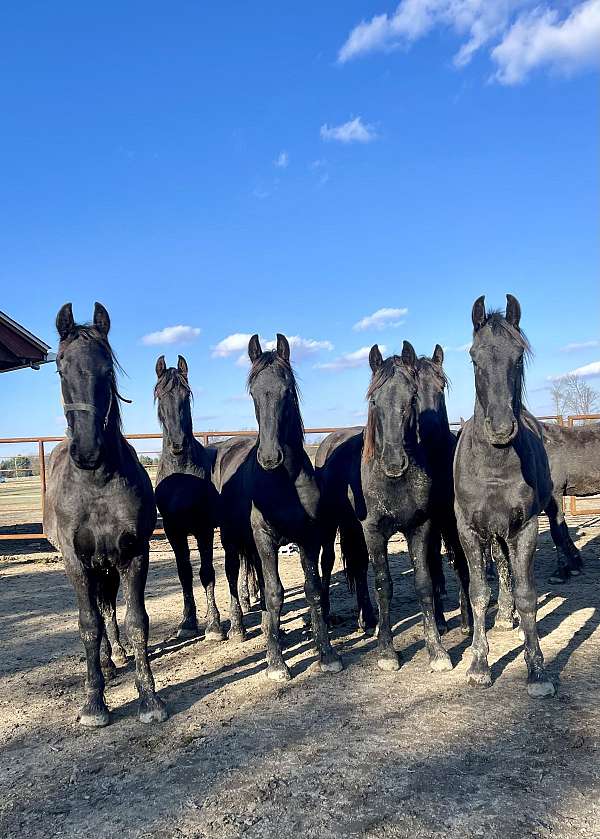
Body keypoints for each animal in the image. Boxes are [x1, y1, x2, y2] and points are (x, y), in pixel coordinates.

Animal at [44, 304, 168, 728]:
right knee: (98, 613)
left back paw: (118, 656)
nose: (88, 450)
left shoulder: (132, 554)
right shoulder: (76, 561)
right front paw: (94, 703)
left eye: (107, 370)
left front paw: (149, 699)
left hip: (109, 565)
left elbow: (135, 621)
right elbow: (88, 625)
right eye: (60, 369)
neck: (96, 482)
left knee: (110, 608)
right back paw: (108, 664)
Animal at [211, 334, 342, 684]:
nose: (269, 458)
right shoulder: (265, 538)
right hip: (232, 540)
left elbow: (312, 590)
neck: (283, 483)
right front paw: (276, 664)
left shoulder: (308, 538)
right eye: (253, 392)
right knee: (233, 576)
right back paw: (238, 628)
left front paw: (327, 655)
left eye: (287, 390)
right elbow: (273, 594)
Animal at [318, 342, 450, 676]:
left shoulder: (420, 527)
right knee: (327, 565)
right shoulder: (375, 531)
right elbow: (384, 585)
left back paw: (368, 619)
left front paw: (437, 651)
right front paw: (388, 651)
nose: (394, 462)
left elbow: (424, 583)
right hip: (332, 528)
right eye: (374, 400)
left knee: (357, 565)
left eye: (412, 397)